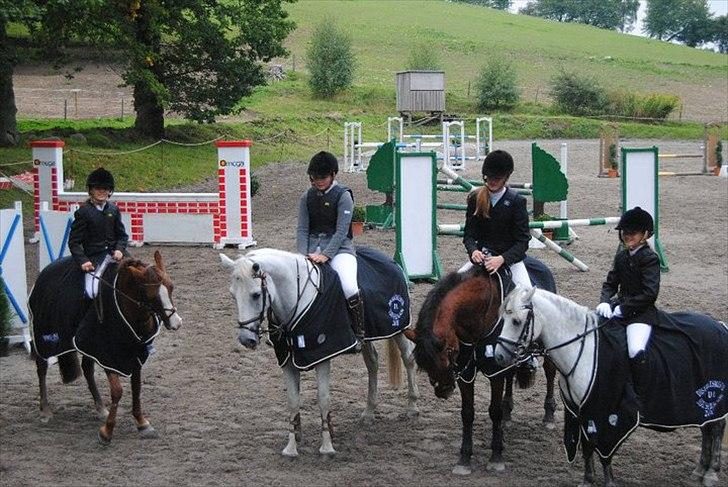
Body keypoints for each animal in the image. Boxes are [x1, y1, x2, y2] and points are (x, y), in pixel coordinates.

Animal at [29, 252, 181, 446]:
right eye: (151, 295)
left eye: (171, 287)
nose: (176, 323)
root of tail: (44, 272)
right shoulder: (107, 353)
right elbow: (117, 392)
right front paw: (106, 432)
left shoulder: (135, 353)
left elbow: (136, 387)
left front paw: (141, 422)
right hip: (46, 338)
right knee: (42, 367)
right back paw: (45, 410)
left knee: (87, 369)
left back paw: (100, 408)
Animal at [219, 250, 418, 460]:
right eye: (232, 294)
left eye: (256, 295)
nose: (245, 339)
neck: (297, 300)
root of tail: (389, 260)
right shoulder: (287, 360)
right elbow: (292, 401)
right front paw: (291, 447)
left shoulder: (322, 356)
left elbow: (323, 399)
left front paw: (327, 447)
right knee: (373, 363)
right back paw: (369, 412)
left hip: (398, 328)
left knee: (408, 358)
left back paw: (412, 407)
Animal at [492, 286, 724, 487]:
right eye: (503, 318)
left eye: (516, 321)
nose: (499, 356)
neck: (583, 348)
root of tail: (720, 326)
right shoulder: (582, 410)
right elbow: (587, 447)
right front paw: (587, 480)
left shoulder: (607, 412)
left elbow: (604, 450)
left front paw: (609, 482)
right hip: (702, 406)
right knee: (707, 430)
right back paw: (699, 471)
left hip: (714, 399)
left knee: (717, 428)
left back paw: (711, 473)